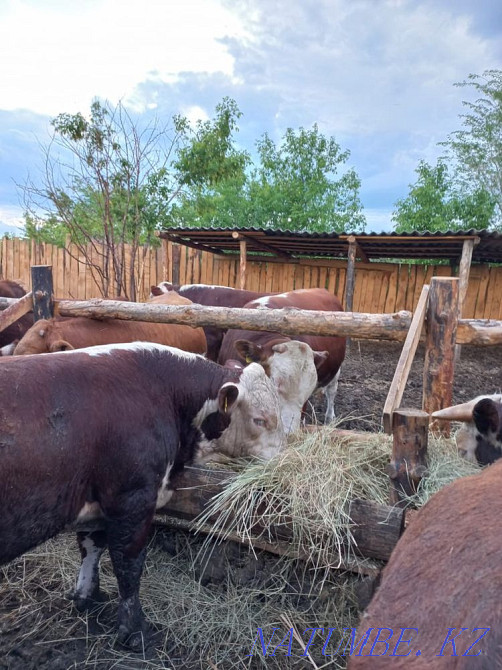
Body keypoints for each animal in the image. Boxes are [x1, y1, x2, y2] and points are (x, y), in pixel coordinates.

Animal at [0, 343, 286, 648]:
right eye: (260, 419)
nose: (282, 462)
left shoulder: (97, 501)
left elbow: (91, 547)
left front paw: (87, 597)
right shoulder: (133, 497)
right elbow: (129, 565)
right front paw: (134, 630)